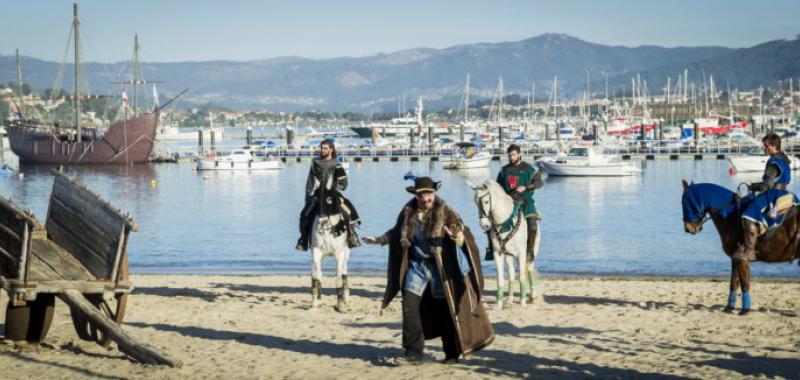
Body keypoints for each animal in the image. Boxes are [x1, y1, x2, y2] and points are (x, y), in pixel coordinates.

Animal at [472, 180, 540, 308]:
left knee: (529, 268)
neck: (505, 222)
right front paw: (499, 305)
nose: (484, 225)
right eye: (476, 202)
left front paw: (522, 303)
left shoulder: (521, 253)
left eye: (486, 201)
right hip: (509, 255)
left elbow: (522, 277)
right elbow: (500, 278)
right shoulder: (498, 254)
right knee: (512, 274)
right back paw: (509, 299)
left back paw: (533, 296)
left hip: (529, 253)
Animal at [680, 180, 800, 314]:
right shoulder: (735, 259)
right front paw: (729, 307)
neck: (731, 216)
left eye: (684, 203)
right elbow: (734, 283)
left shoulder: (741, 259)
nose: (688, 228)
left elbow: (744, 284)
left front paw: (745, 309)